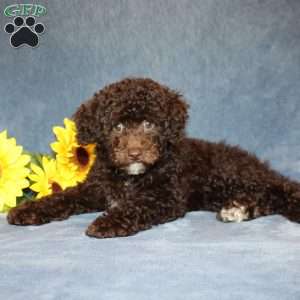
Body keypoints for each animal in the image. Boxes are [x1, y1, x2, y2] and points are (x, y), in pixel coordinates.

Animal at [6, 78, 300, 238]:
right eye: (117, 127)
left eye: (149, 124)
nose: (135, 152)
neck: (130, 178)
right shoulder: (95, 190)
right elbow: (63, 197)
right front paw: (28, 210)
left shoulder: (165, 196)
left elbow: (135, 206)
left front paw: (108, 222)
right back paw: (237, 209)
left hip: (231, 175)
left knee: (281, 189)